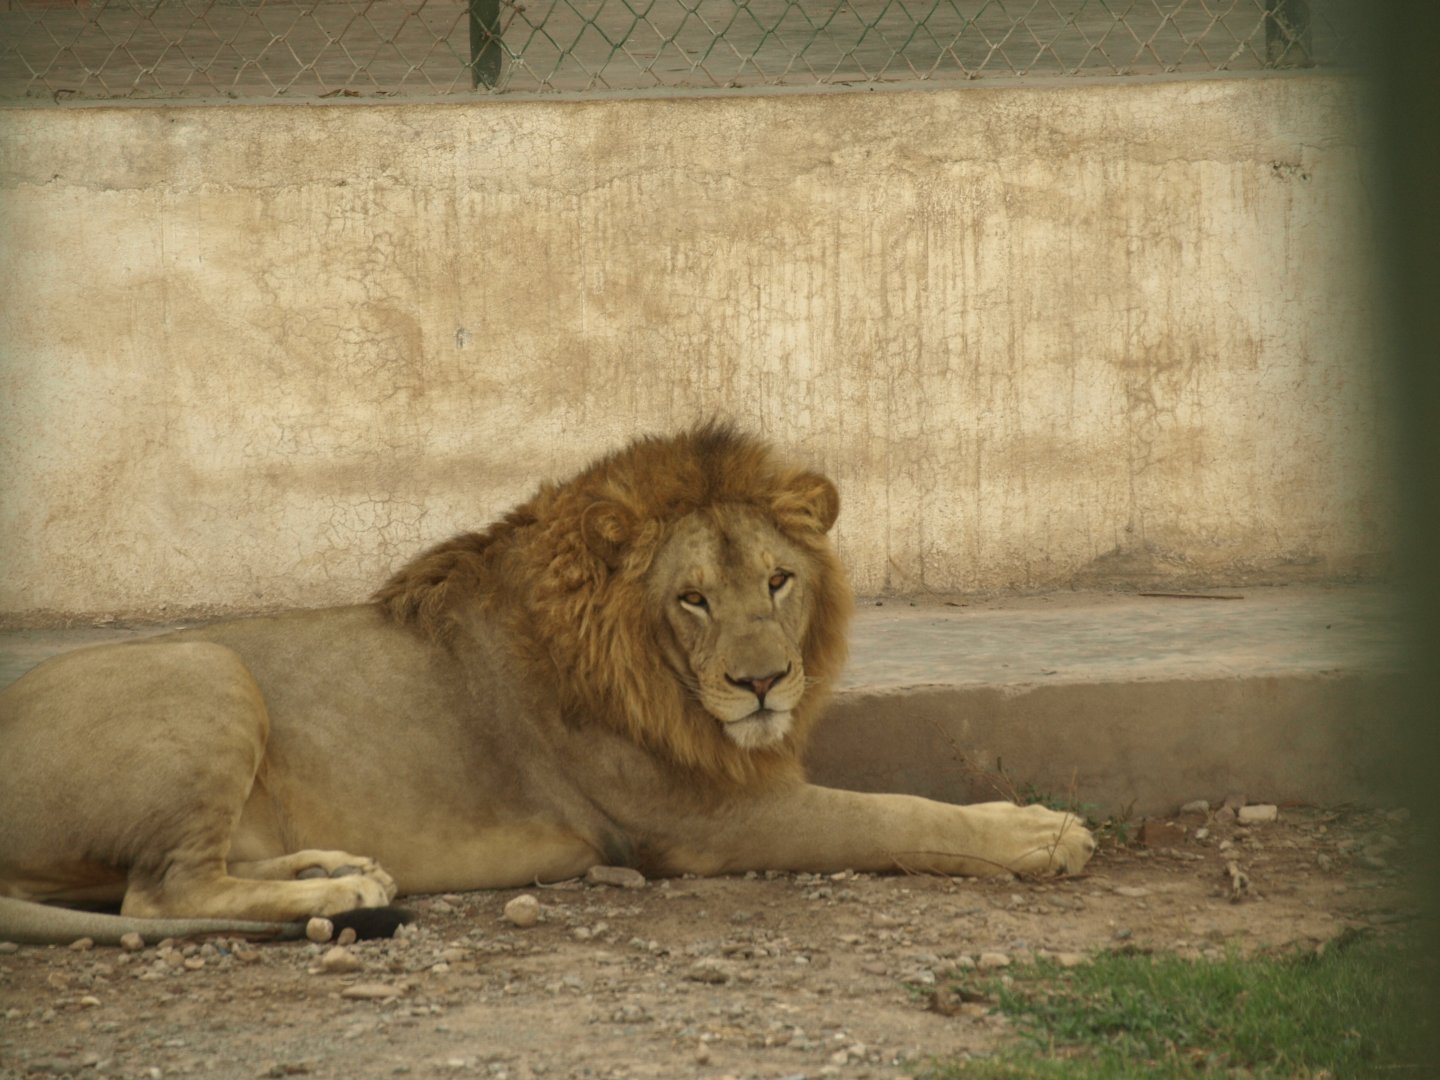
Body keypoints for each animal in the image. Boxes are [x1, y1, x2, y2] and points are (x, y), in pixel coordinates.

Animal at [0, 424, 1093, 946]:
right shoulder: (702, 824)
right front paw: (1040, 834)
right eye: (693, 599)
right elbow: (897, 814)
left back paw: (336, 869)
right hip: (206, 667)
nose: (763, 683)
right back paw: (344, 889)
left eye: (778, 581)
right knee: (159, 892)